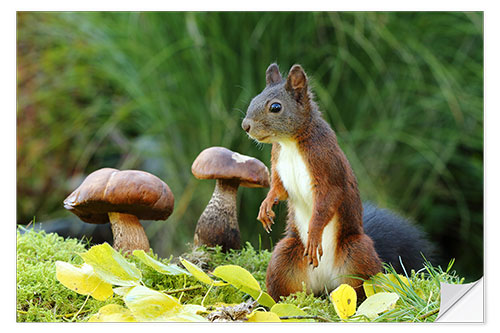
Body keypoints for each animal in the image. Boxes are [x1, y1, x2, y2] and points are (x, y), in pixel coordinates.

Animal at [240, 63, 432, 300]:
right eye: (254, 99)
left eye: (275, 107)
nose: (245, 126)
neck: (290, 142)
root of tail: (324, 285)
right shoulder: (278, 164)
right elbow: (278, 188)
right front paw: (266, 205)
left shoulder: (327, 166)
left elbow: (327, 200)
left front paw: (314, 234)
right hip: (283, 259)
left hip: (357, 254)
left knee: (361, 289)